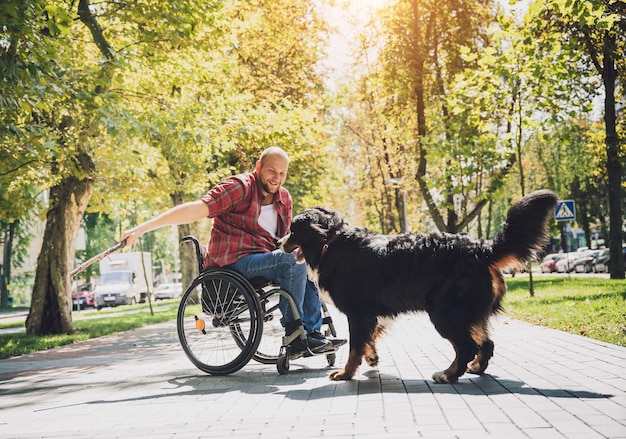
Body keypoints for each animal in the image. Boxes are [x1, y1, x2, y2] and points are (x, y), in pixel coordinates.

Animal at [280, 191, 556, 384]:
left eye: (293, 230)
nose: (280, 241)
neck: (332, 243)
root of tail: (480, 249)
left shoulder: (358, 313)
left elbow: (355, 347)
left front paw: (346, 373)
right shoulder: (373, 313)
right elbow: (368, 339)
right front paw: (371, 356)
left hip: (446, 314)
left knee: (467, 346)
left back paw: (448, 374)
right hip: (466, 314)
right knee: (485, 343)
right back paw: (475, 367)